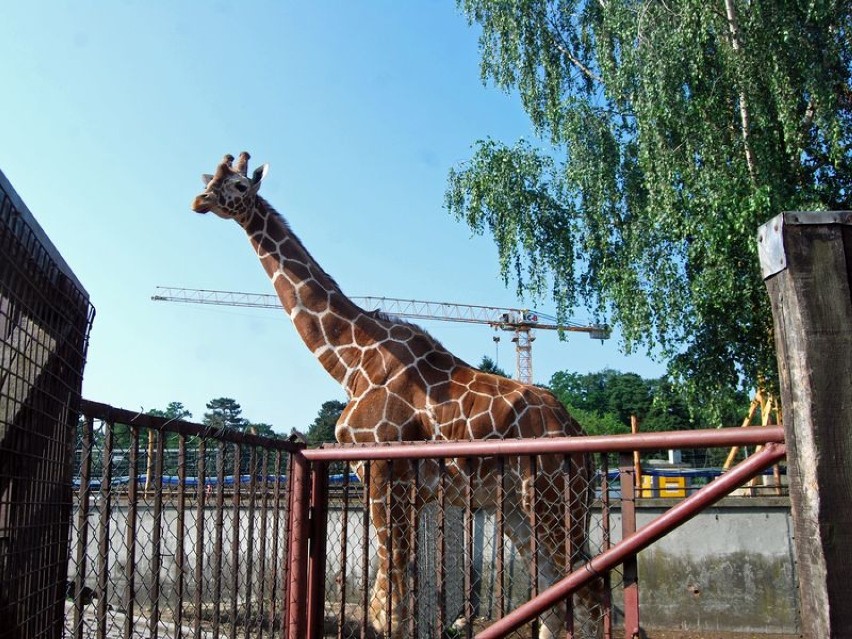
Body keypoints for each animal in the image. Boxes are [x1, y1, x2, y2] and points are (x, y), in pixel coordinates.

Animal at [190, 154, 604, 639]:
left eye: (238, 185)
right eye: (210, 178)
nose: (200, 201)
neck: (351, 360)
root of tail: (580, 437)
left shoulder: (386, 475)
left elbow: (389, 605)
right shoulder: (401, 489)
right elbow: (398, 600)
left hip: (553, 502)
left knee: (593, 594)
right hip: (520, 512)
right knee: (555, 594)